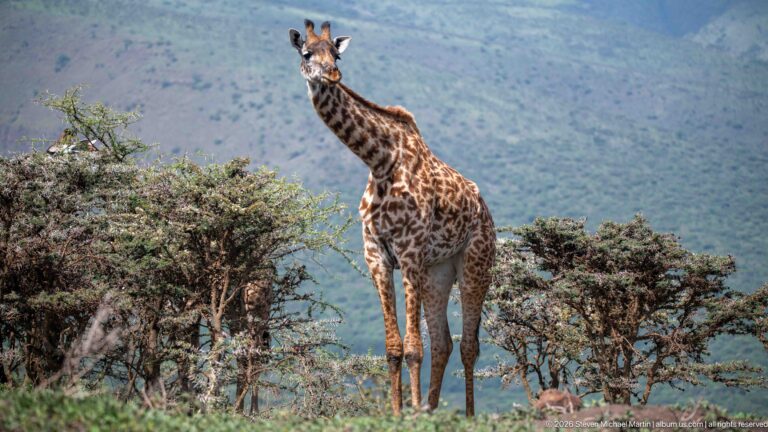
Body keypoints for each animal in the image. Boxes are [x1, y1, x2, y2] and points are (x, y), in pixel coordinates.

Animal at [288, 20, 496, 416]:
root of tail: (485, 209)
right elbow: (394, 347)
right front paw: (401, 413)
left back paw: (468, 415)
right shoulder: (377, 256)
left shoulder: (410, 252)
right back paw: (430, 410)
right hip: (437, 271)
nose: (333, 74)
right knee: (444, 341)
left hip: (475, 263)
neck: (380, 160)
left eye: (336, 54)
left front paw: (410, 413)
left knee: (468, 345)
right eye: (306, 53)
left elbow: (414, 348)